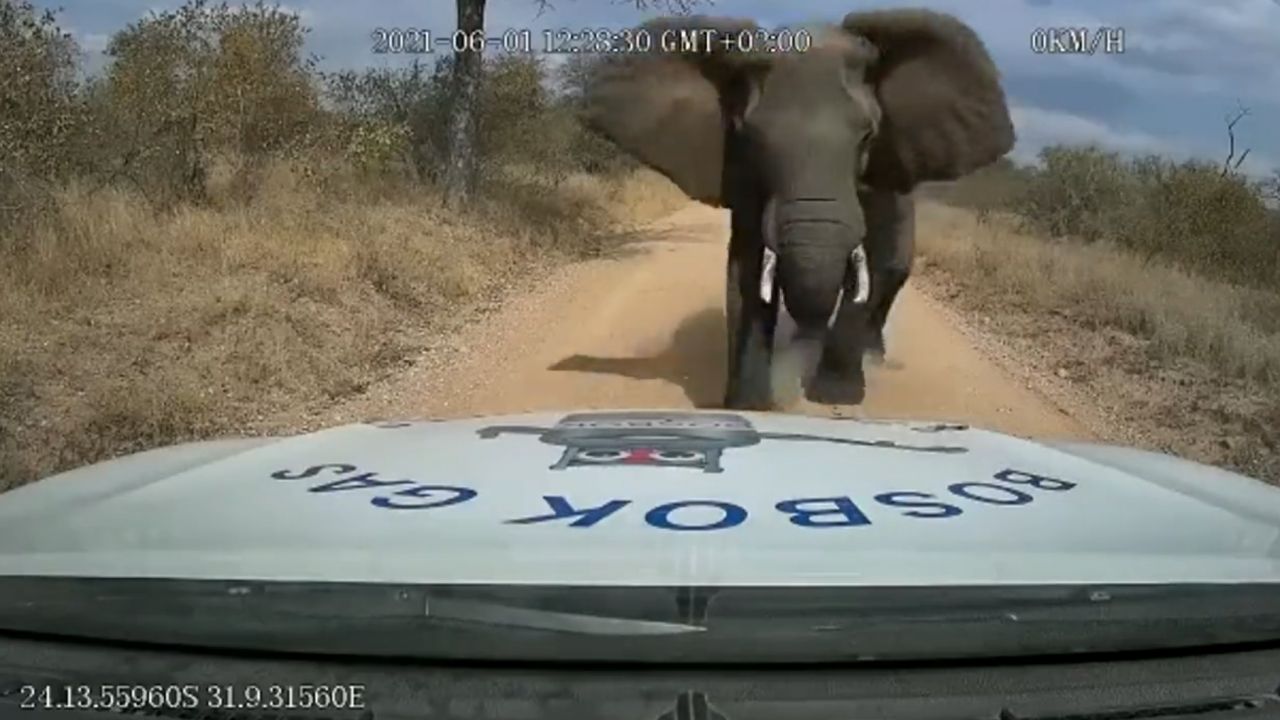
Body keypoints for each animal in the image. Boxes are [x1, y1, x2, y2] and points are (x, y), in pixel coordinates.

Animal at [580, 8, 1014, 410]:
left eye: (867, 137)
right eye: (752, 137)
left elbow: (872, 263)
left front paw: (837, 398)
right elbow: (747, 268)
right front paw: (750, 407)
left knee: (892, 272)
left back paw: (871, 354)